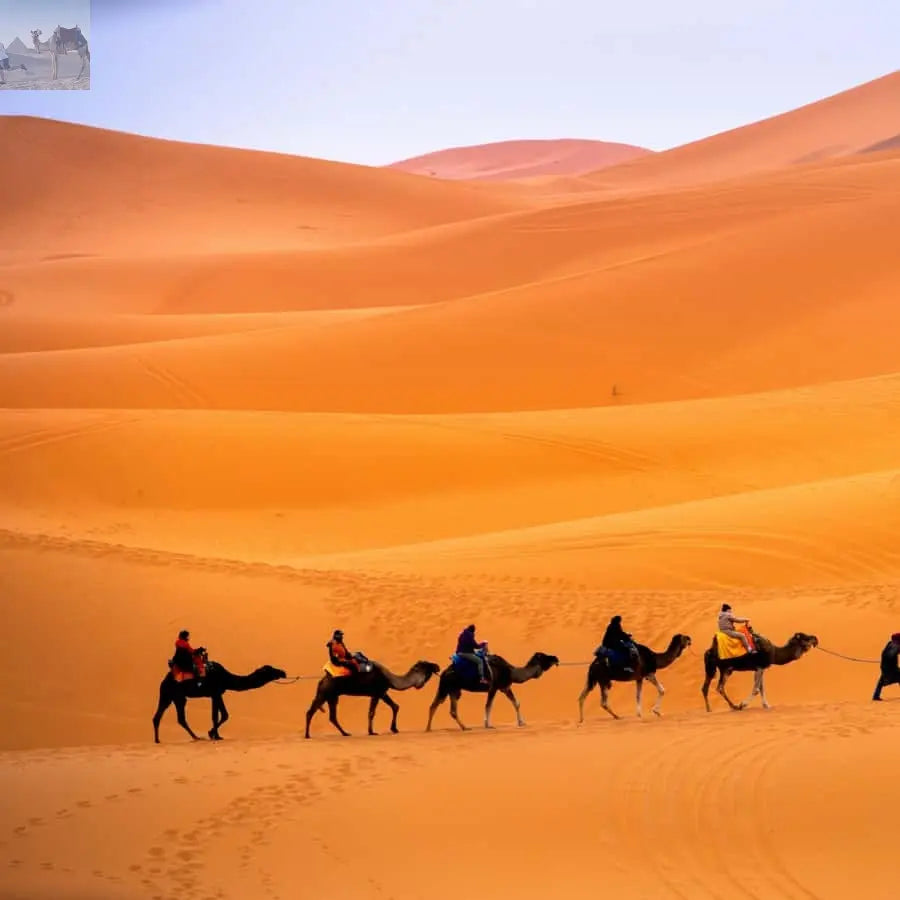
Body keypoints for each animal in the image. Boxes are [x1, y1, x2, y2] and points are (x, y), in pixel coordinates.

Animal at [152, 657, 286, 743]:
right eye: (269, 669)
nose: (283, 672)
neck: (226, 678)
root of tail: (163, 681)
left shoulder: (217, 694)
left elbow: (223, 715)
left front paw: (215, 735)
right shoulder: (215, 693)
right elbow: (217, 716)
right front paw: (213, 734)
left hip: (170, 697)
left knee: (160, 717)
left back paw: (158, 740)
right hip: (176, 696)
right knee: (179, 718)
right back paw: (196, 737)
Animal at [304, 659, 441, 739]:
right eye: (427, 665)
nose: (437, 666)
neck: (390, 679)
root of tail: (322, 680)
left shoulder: (382, 693)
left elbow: (395, 706)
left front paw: (394, 729)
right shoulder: (377, 693)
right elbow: (372, 712)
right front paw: (371, 732)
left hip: (332, 696)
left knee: (332, 716)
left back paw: (345, 733)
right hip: (324, 693)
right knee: (310, 712)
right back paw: (307, 735)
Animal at [426, 651, 559, 731]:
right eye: (544, 657)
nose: (555, 658)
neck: (511, 672)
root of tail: (443, 672)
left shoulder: (505, 687)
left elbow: (516, 703)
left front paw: (521, 723)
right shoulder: (493, 687)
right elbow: (488, 705)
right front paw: (488, 725)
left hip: (451, 689)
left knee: (441, 707)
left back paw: (433, 728)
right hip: (447, 687)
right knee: (439, 706)